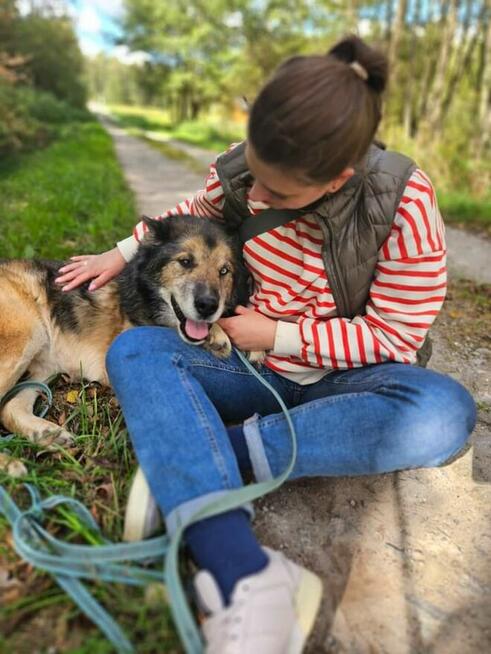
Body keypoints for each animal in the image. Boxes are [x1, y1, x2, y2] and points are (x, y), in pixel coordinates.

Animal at [0, 218, 252, 448]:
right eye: (185, 261)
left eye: (224, 271)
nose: (208, 305)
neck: (145, 294)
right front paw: (218, 333)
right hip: (26, 336)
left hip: (43, 366)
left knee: (9, 408)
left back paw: (46, 434)